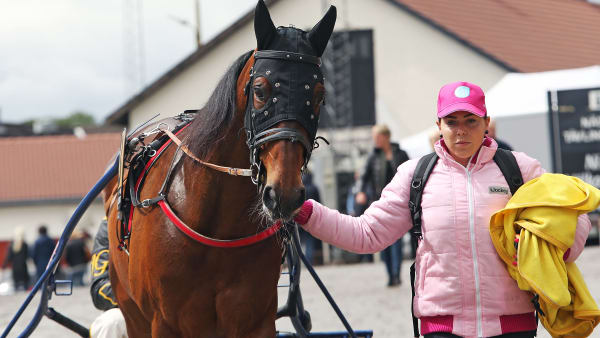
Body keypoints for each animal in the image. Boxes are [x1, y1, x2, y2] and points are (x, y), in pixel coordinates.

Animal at [103, 1, 338, 336]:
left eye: (318, 95)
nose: (285, 194)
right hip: (132, 311)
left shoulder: (255, 321)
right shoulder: (164, 322)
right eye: (261, 90)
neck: (216, 226)